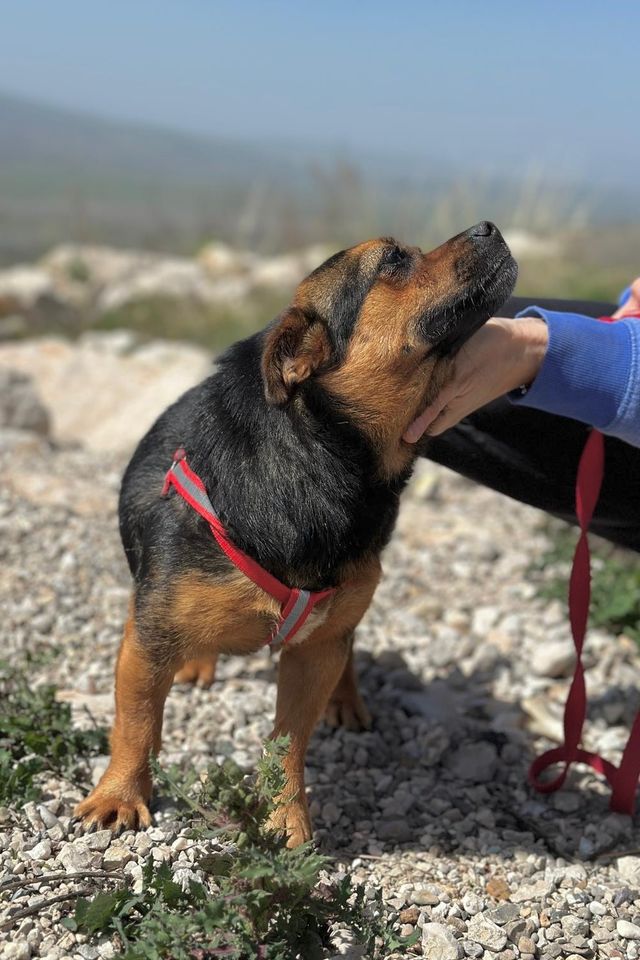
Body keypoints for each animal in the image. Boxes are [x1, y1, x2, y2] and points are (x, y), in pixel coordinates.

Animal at [74, 221, 516, 844]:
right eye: (394, 261)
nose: (489, 227)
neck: (323, 466)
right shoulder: (149, 638)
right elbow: (136, 721)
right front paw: (120, 795)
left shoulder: (313, 650)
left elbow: (289, 737)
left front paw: (284, 815)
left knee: (347, 646)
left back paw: (346, 698)